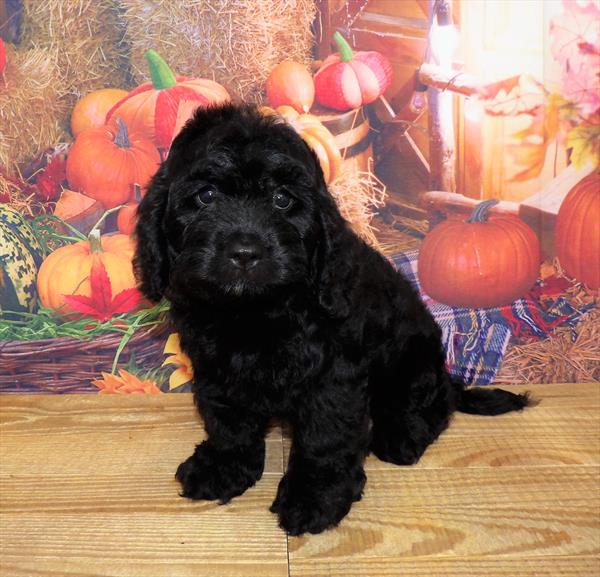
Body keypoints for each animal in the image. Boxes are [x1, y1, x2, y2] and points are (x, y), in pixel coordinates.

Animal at [136, 102, 528, 536]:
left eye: (282, 199)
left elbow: (325, 435)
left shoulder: (333, 375)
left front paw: (314, 496)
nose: (245, 252)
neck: (256, 311)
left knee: (432, 402)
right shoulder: (216, 365)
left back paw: (403, 434)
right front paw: (224, 466)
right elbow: (227, 418)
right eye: (205, 196)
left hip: (414, 358)